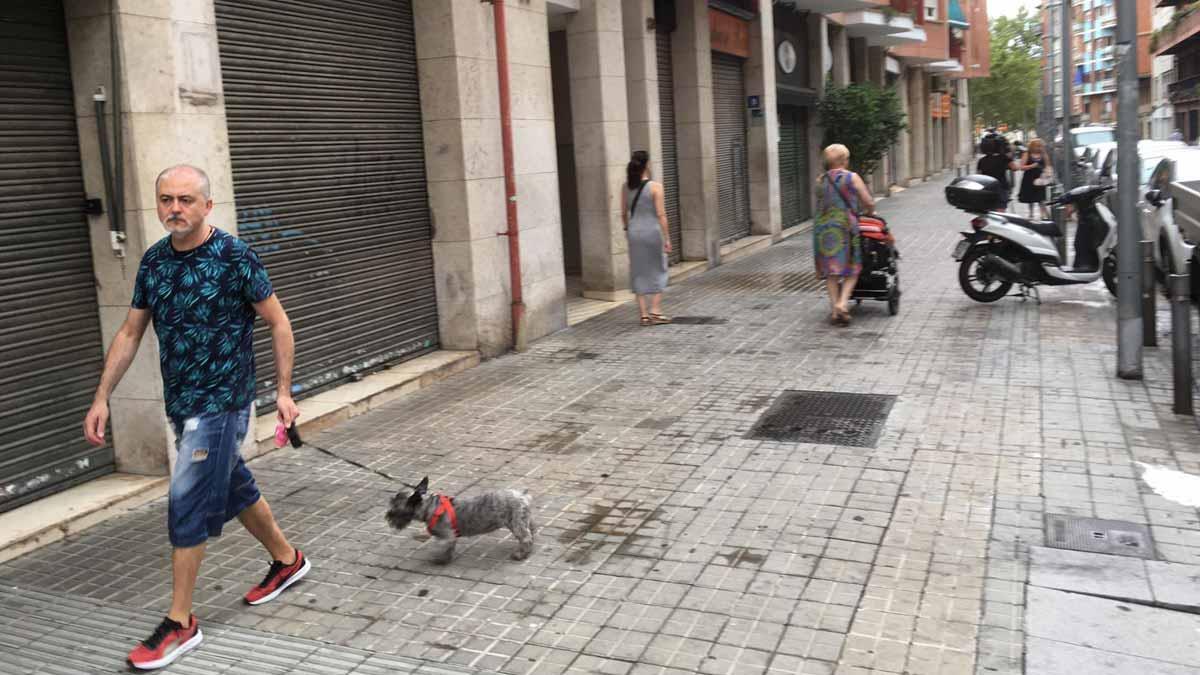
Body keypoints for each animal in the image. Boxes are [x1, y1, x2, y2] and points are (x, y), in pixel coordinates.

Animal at [384, 475, 535, 564]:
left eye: (395, 509)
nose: (387, 516)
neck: (430, 507)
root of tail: (522, 495)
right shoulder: (449, 537)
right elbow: (450, 548)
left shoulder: (446, 536)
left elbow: (445, 547)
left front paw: (441, 559)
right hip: (522, 519)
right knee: (530, 531)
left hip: (516, 523)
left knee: (525, 538)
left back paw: (520, 554)